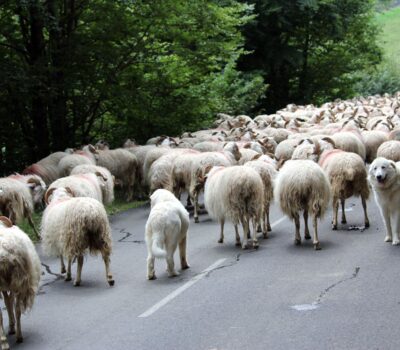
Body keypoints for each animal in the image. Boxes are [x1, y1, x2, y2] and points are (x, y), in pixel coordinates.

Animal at [0, 216, 41, 344]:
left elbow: (8, 301)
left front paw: (11, 326)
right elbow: (8, 301)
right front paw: (11, 325)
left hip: (18, 280)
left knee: (13, 309)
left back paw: (10, 338)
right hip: (19, 280)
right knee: (17, 308)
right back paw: (17, 336)